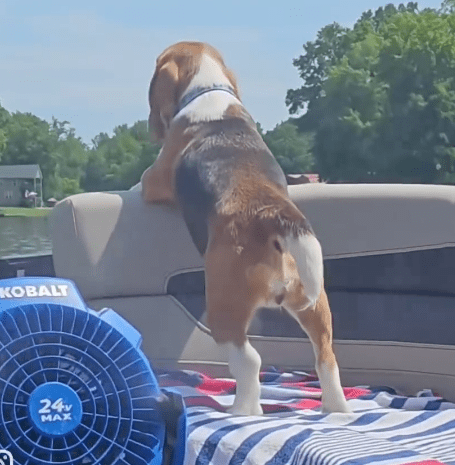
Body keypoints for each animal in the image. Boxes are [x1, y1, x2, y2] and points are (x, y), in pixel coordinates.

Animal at [142, 41, 352, 416]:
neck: (209, 89)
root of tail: (272, 214)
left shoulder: (155, 177)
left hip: (223, 307)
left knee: (249, 360)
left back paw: (242, 410)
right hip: (314, 304)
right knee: (326, 357)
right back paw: (337, 409)